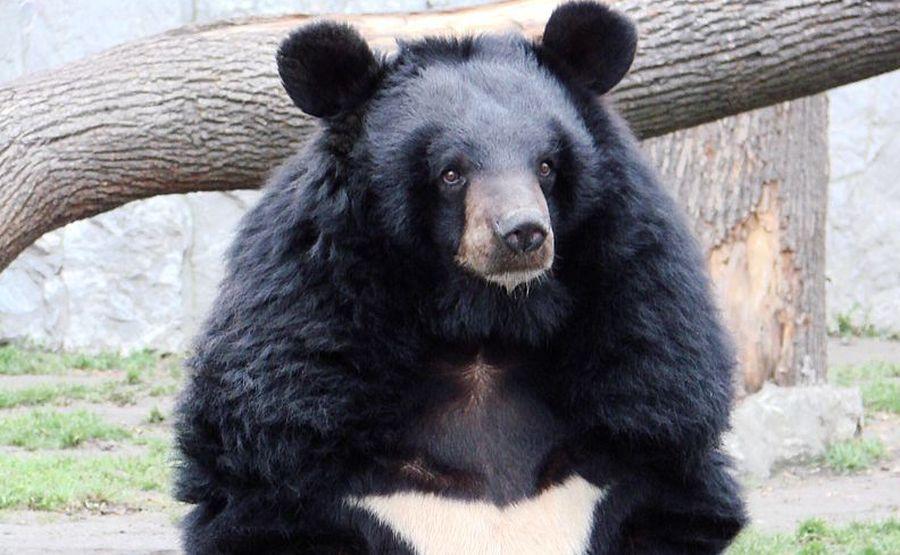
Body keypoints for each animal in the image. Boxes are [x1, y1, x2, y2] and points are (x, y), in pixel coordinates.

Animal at [174, 1, 747, 553]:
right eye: (451, 173)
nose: (523, 233)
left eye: (546, 165)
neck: (484, 326)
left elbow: (673, 484)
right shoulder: (297, 389)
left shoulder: (646, 380)